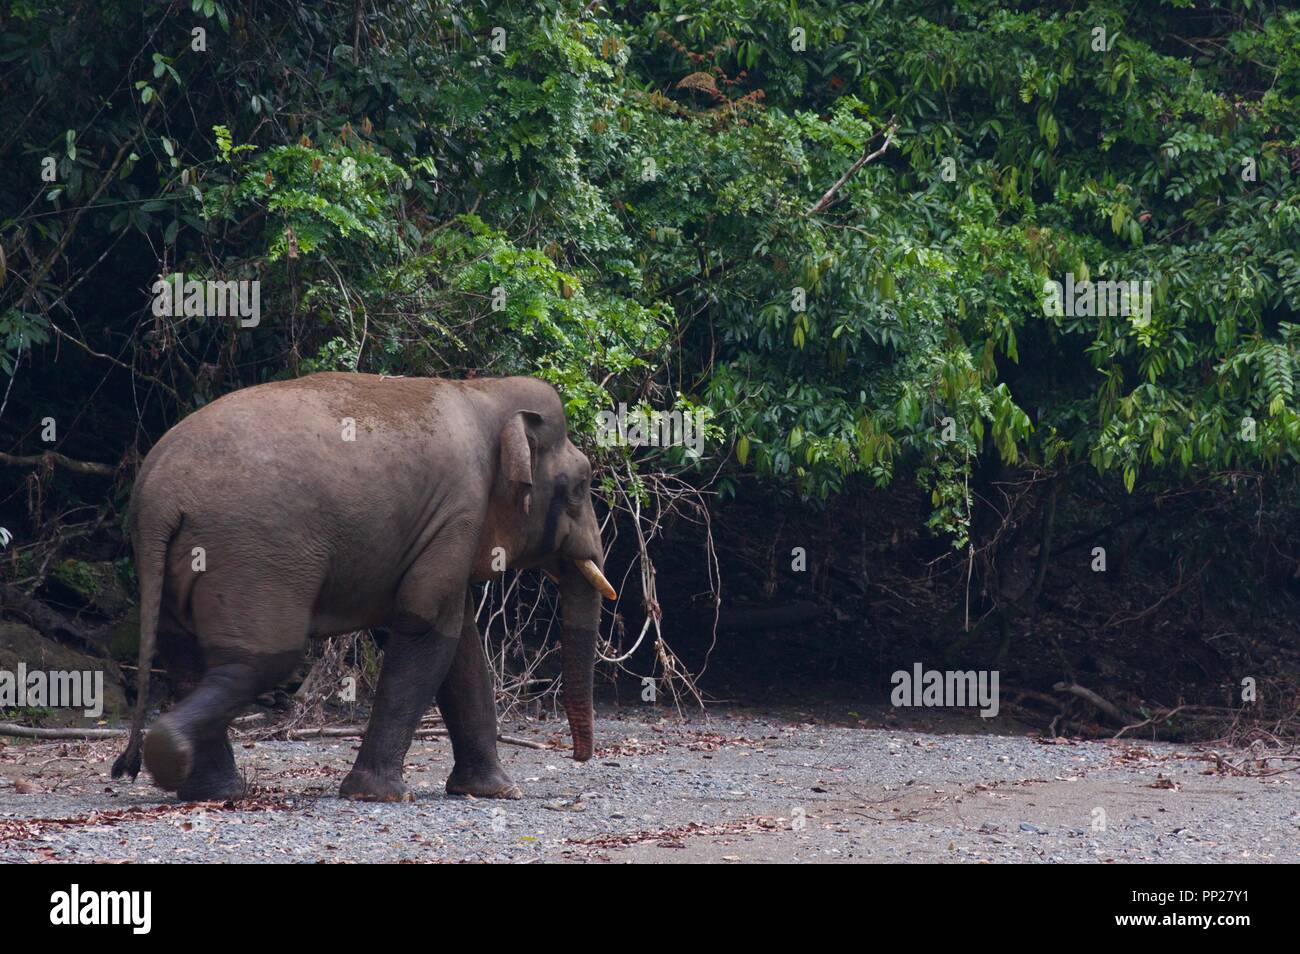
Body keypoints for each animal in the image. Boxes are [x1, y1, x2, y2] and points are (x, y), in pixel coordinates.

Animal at [111, 372, 617, 802]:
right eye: (580, 485)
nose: (578, 756)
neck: (484, 392)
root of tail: (156, 497)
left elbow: (459, 643)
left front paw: (493, 791)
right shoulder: (458, 512)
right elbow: (424, 622)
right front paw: (380, 795)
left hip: (181, 566)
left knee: (183, 653)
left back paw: (214, 791)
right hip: (250, 556)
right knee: (261, 660)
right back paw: (175, 755)